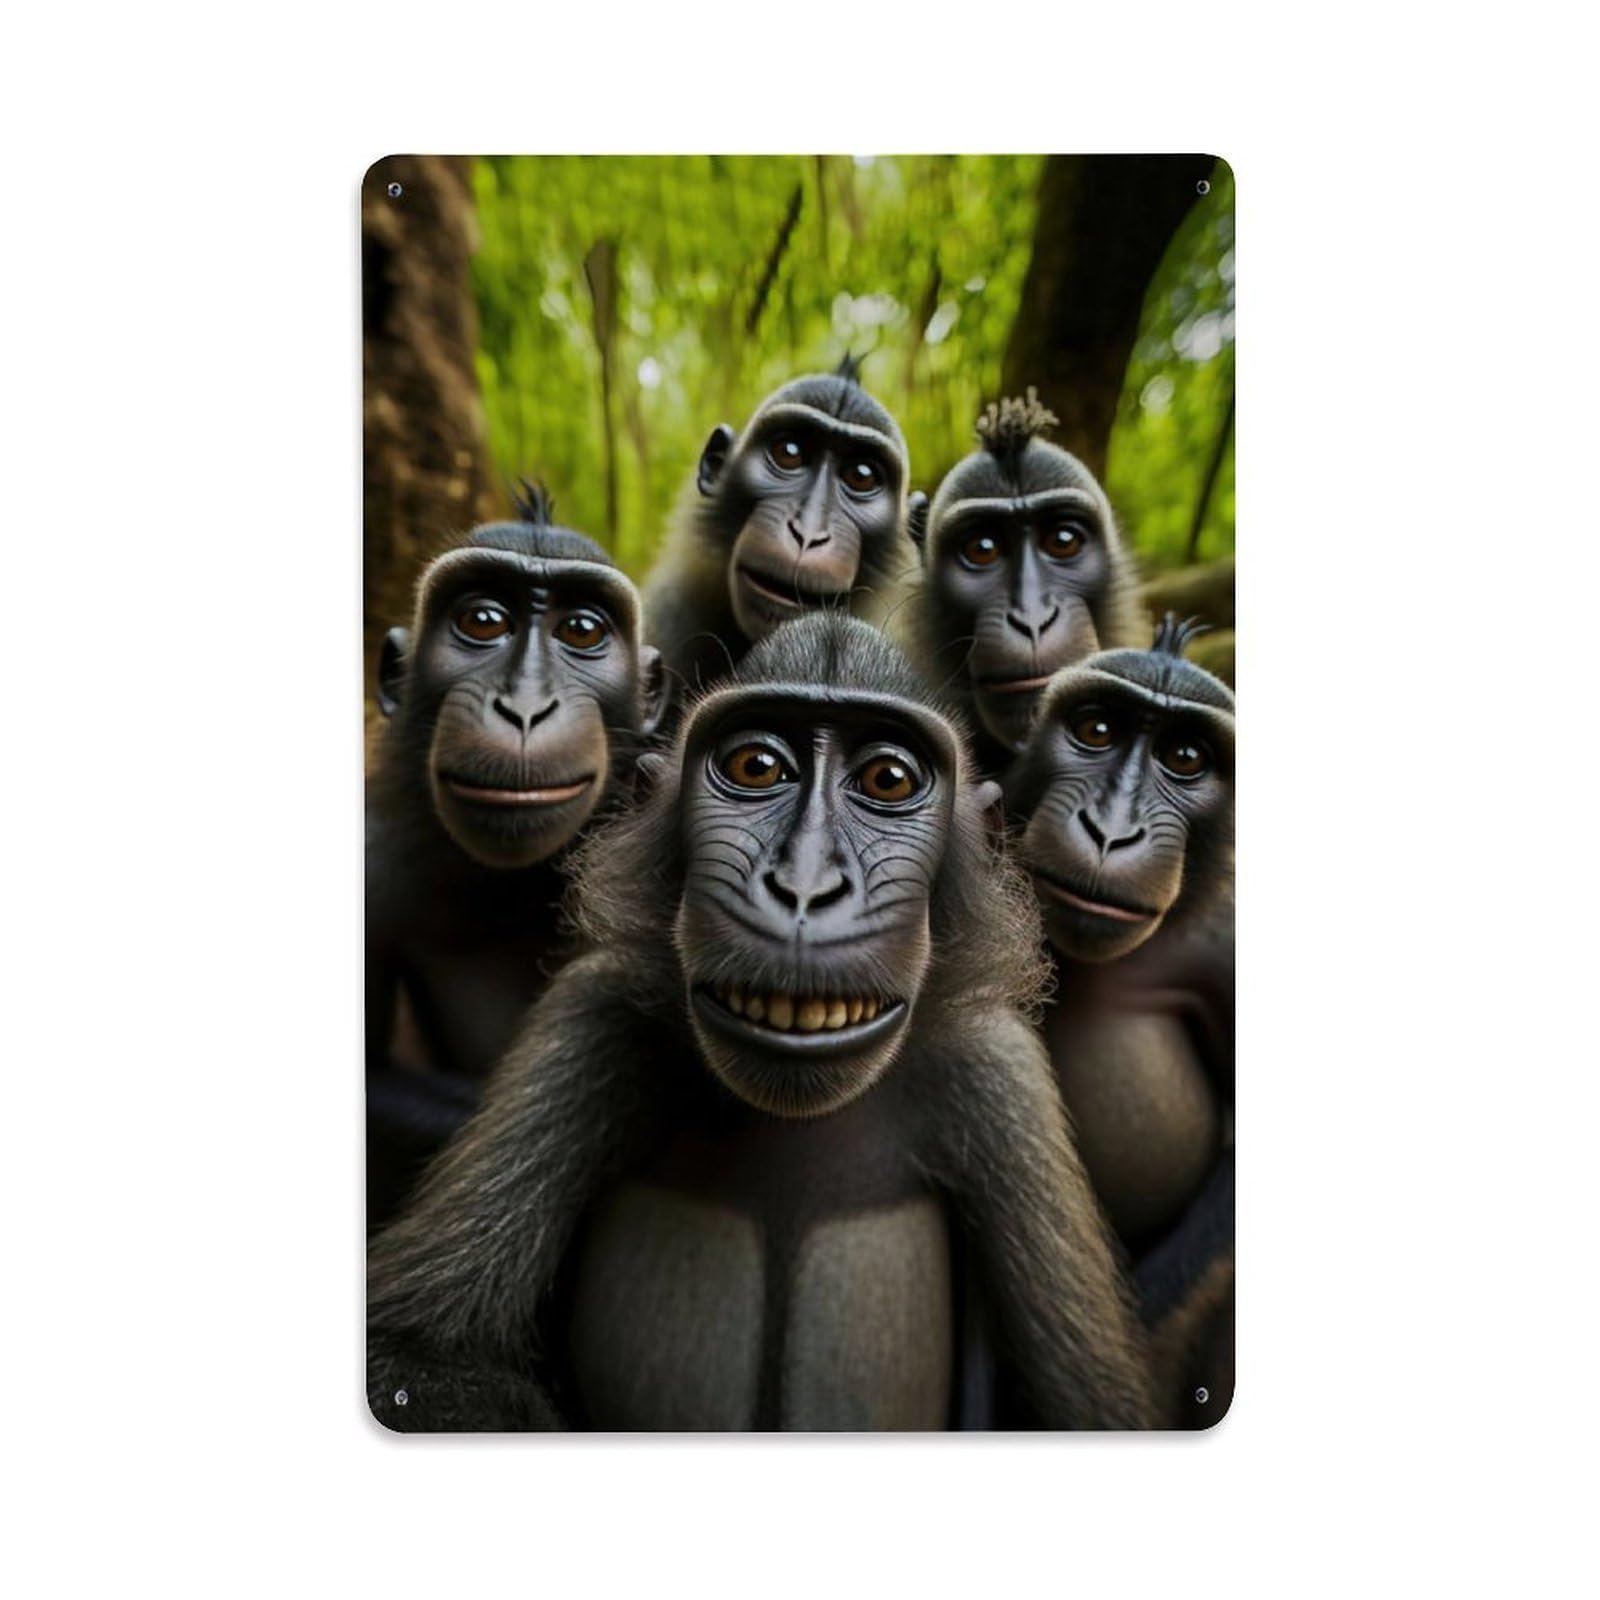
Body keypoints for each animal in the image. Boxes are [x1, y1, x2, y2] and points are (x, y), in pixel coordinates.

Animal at [367, 612, 1155, 1432]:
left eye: (889, 780)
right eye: (755, 767)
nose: (805, 886)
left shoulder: (998, 1074)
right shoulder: (596, 1013)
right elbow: (414, 1359)